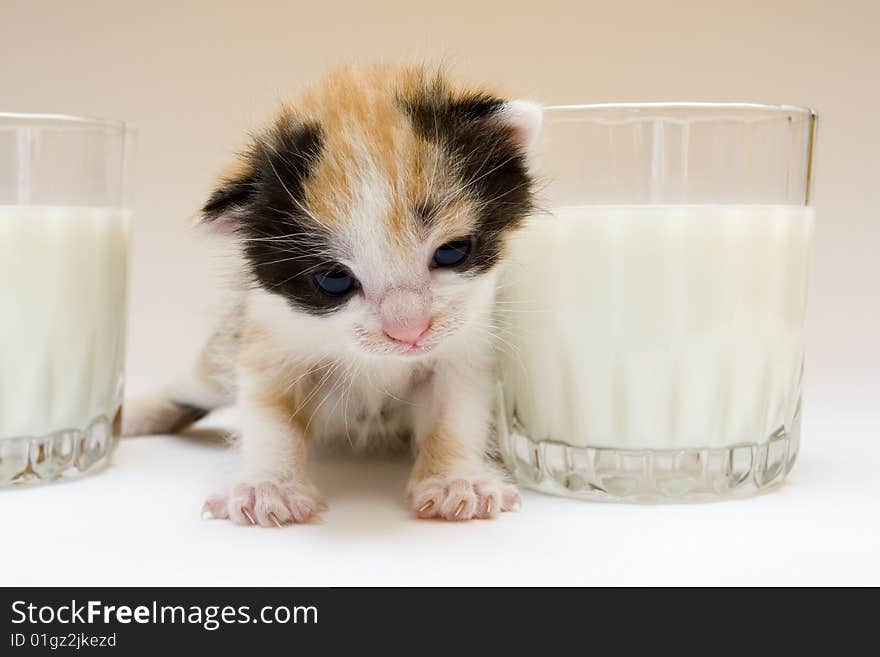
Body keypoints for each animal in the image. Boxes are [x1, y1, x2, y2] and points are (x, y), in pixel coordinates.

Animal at [121, 64, 540, 524]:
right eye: (333, 280)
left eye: (452, 251)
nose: (409, 332)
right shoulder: (270, 333)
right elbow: (270, 414)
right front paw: (269, 485)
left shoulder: (464, 347)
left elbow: (455, 413)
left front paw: (456, 480)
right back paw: (133, 416)